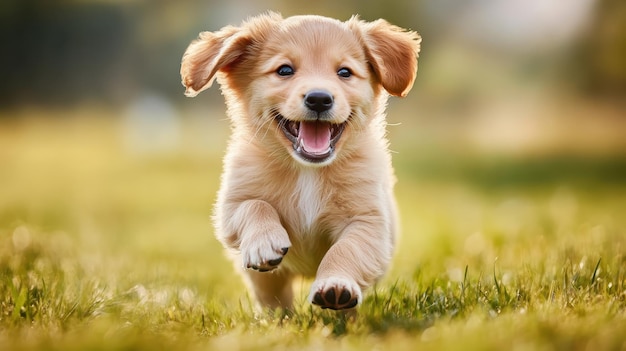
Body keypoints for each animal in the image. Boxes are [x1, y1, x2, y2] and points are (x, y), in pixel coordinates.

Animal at [180, 11, 420, 310]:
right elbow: (254, 205)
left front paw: (335, 284)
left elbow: (346, 249)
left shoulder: (369, 222)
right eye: (284, 70)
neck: (307, 170)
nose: (319, 99)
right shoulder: (230, 207)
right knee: (274, 300)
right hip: (265, 282)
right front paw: (264, 241)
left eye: (345, 72)